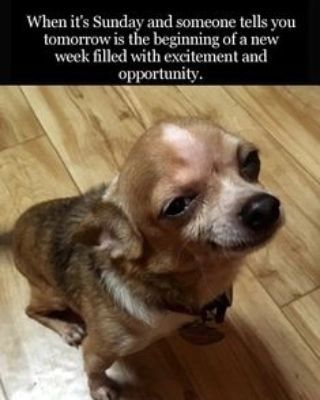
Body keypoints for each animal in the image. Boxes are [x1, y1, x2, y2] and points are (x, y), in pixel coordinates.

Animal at [10, 118, 282, 396]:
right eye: (177, 206)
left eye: (252, 160)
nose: (264, 207)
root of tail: (14, 231)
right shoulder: (98, 350)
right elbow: (93, 371)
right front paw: (100, 389)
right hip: (51, 295)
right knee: (30, 311)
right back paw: (68, 329)